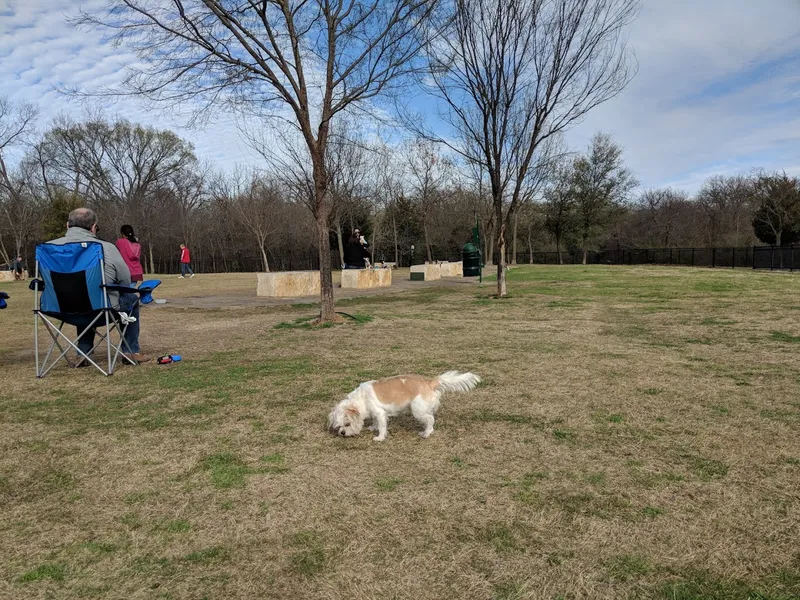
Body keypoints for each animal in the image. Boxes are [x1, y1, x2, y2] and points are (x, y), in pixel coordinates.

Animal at [326, 370, 478, 440]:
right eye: (339, 426)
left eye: (347, 424)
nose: (342, 433)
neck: (362, 398)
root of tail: (429, 382)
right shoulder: (374, 413)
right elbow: (375, 421)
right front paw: (372, 427)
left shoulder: (380, 413)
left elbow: (382, 426)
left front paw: (379, 437)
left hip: (417, 410)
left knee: (430, 419)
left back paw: (426, 433)